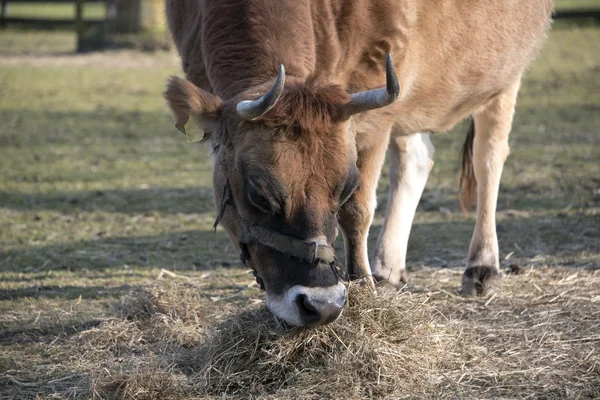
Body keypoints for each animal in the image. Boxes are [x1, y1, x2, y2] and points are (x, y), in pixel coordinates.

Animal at [162, 0, 552, 328]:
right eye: (259, 194)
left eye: (346, 186)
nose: (321, 305)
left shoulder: (376, 111)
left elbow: (358, 211)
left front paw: (362, 285)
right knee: (416, 159)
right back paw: (388, 269)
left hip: (504, 76)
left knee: (488, 157)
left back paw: (481, 267)